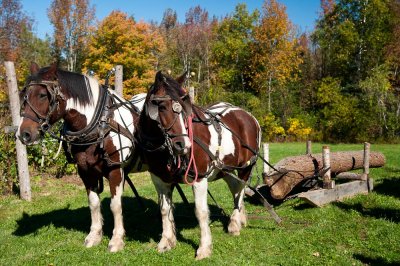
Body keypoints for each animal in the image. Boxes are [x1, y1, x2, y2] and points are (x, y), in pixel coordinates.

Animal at [17, 62, 146, 251]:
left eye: (42, 95)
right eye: (24, 96)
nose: (23, 134)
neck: (99, 124)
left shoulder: (115, 170)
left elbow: (115, 205)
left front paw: (116, 240)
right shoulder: (86, 171)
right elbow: (93, 203)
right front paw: (94, 236)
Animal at [138, 71, 262, 260]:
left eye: (185, 108)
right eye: (162, 107)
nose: (184, 145)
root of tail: (249, 116)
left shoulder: (199, 178)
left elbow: (201, 212)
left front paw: (204, 248)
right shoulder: (159, 179)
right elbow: (165, 210)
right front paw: (166, 242)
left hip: (246, 167)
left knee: (240, 190)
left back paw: (234, 223)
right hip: (224, 169)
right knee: (235, 188)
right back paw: (241, 217)